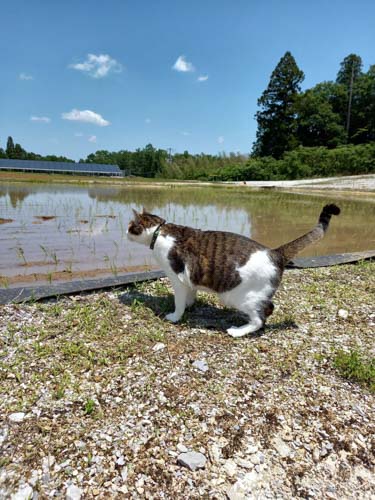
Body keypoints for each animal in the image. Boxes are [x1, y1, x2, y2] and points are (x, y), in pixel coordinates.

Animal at [128, 205, 342, 338]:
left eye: (130, 226)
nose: (125, 232)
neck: (159, 232)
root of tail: (276, 252)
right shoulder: (189, 279)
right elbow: (190, 294)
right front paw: (190, 304)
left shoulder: (177, 278)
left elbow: (179, 301)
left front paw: (175, 316)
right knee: (268, 309)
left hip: (237, 297)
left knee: (260, 318)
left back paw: (238, 331)